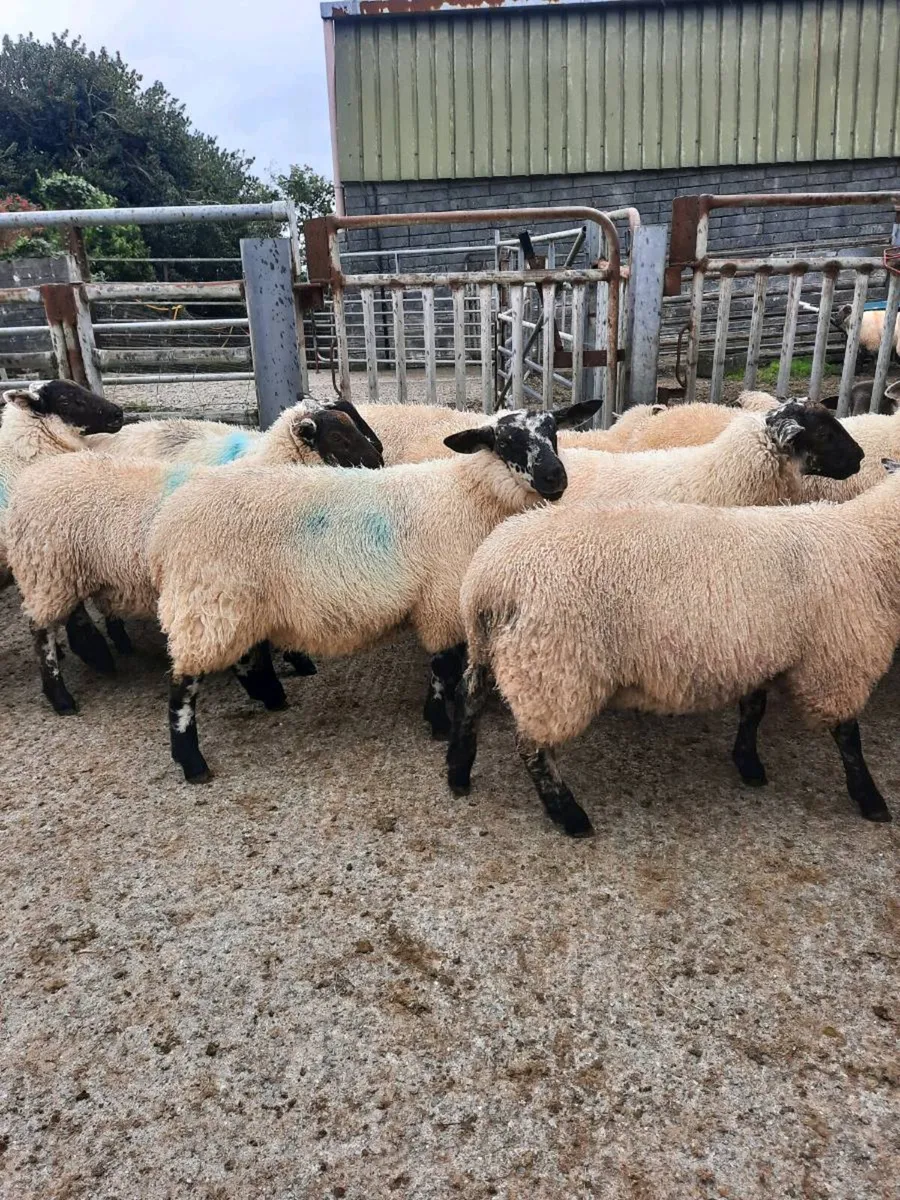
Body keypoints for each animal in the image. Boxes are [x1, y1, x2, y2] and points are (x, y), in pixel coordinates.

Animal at [6, 397, 383, 718]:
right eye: (337, 435)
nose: (379, 462)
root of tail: (33, 476)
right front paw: (277, 681)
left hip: (82, 573)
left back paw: (111, 651)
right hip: (49, 571)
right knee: (42, 632)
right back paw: (62, 696)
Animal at [147, 401, 601, 783]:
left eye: (554, 432)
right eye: (505, 442)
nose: (555, 478)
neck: (468, 497)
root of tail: (165, 528)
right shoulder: (441, 599)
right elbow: (443, 667)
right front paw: (438, 721)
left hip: (231, 603)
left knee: (240, 657)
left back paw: (270, 698)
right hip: (208, 601)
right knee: (183, 685)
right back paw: (192, 762)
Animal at [446, 463, 900, 837]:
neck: (872, 544)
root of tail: (486, 578)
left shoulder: (758, 649)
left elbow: (753, 709)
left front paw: (748, 763)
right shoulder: (838, 661)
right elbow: (849, 736)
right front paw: (869, 798)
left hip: (496, 649)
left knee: (469, 699)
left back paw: (458, 771)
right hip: (554, 665)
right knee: (532, 746)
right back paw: (568, 814)